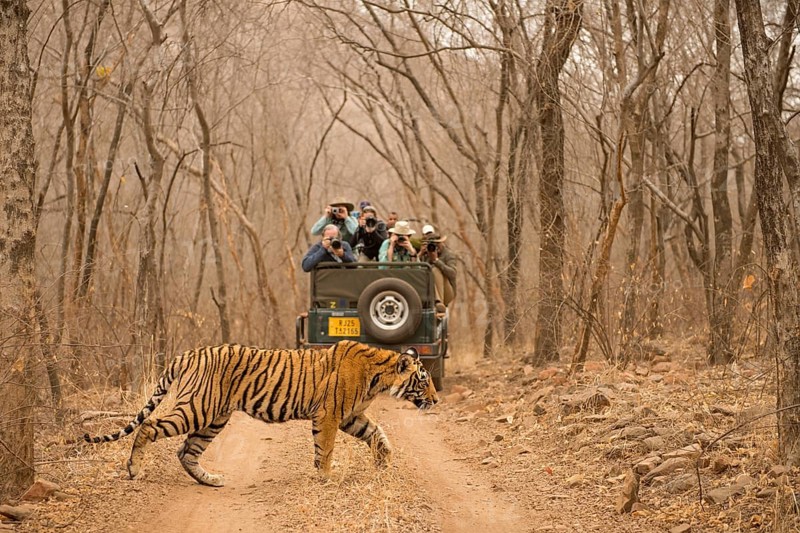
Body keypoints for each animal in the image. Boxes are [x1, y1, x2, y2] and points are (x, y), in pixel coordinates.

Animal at [83, 340, 438, 486]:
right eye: (424, 380)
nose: (436, 400)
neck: (379, 377)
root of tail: (187, 354)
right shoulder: (329, 415)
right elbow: (325, 449)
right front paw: (326, 478)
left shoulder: (351, 416)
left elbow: (377, 434)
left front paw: (384, 462)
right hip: (197, 408)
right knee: (150, 426)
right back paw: (134, 470)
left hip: (213, 419)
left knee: (186, 451)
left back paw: (211, 480)